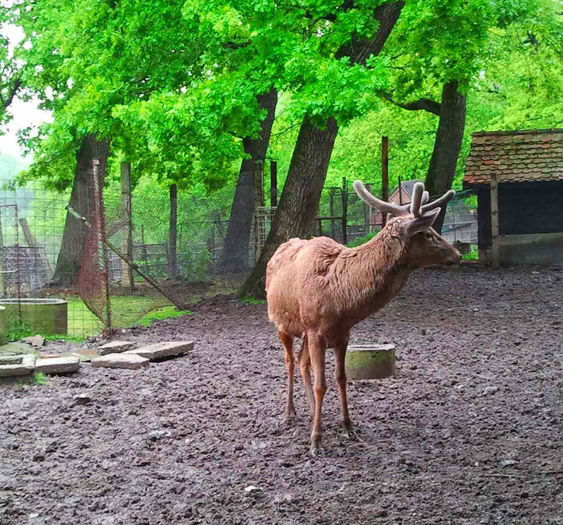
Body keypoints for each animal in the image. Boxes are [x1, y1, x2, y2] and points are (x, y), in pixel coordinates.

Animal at [266, 180, 460, 454]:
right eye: (427, 233)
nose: (457, 254)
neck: (340, 300)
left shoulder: (341, 333)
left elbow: (341, 378)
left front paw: (348, 427)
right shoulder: (315, 330)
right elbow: (321, 384)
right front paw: (315, 440)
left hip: (304, 330)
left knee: (303, 363)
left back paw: (313, 411)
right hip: (281, 322)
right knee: (290, 361)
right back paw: (289, 413)